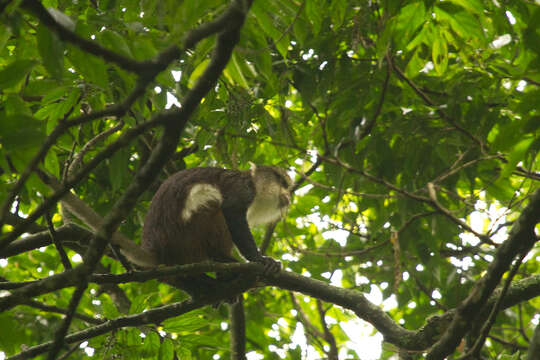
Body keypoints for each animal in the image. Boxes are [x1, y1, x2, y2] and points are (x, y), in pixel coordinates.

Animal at [139, 165, 292, 300]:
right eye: (281, 182)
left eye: (287, 186)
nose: (288, 196)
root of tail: (154, 249)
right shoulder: (242, 189)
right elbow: (231, 210)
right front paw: (259, 259)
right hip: (185, 233)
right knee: (213, 202)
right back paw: (221, 260)